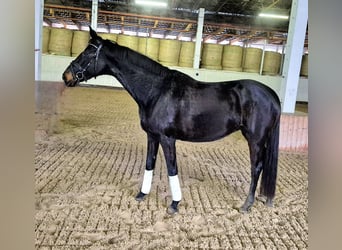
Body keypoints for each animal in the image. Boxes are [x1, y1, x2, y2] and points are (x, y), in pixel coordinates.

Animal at [63, 27, 280, 215]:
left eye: (88, 53)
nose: (66, 76)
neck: (157, 91)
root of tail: (272, 95)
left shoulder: (167, 138)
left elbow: (172, 168)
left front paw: (174, 204)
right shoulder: (152, 135)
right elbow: (149, 163)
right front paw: (141, 194)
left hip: (255, 140)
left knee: (256, 167)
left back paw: (247, 204)